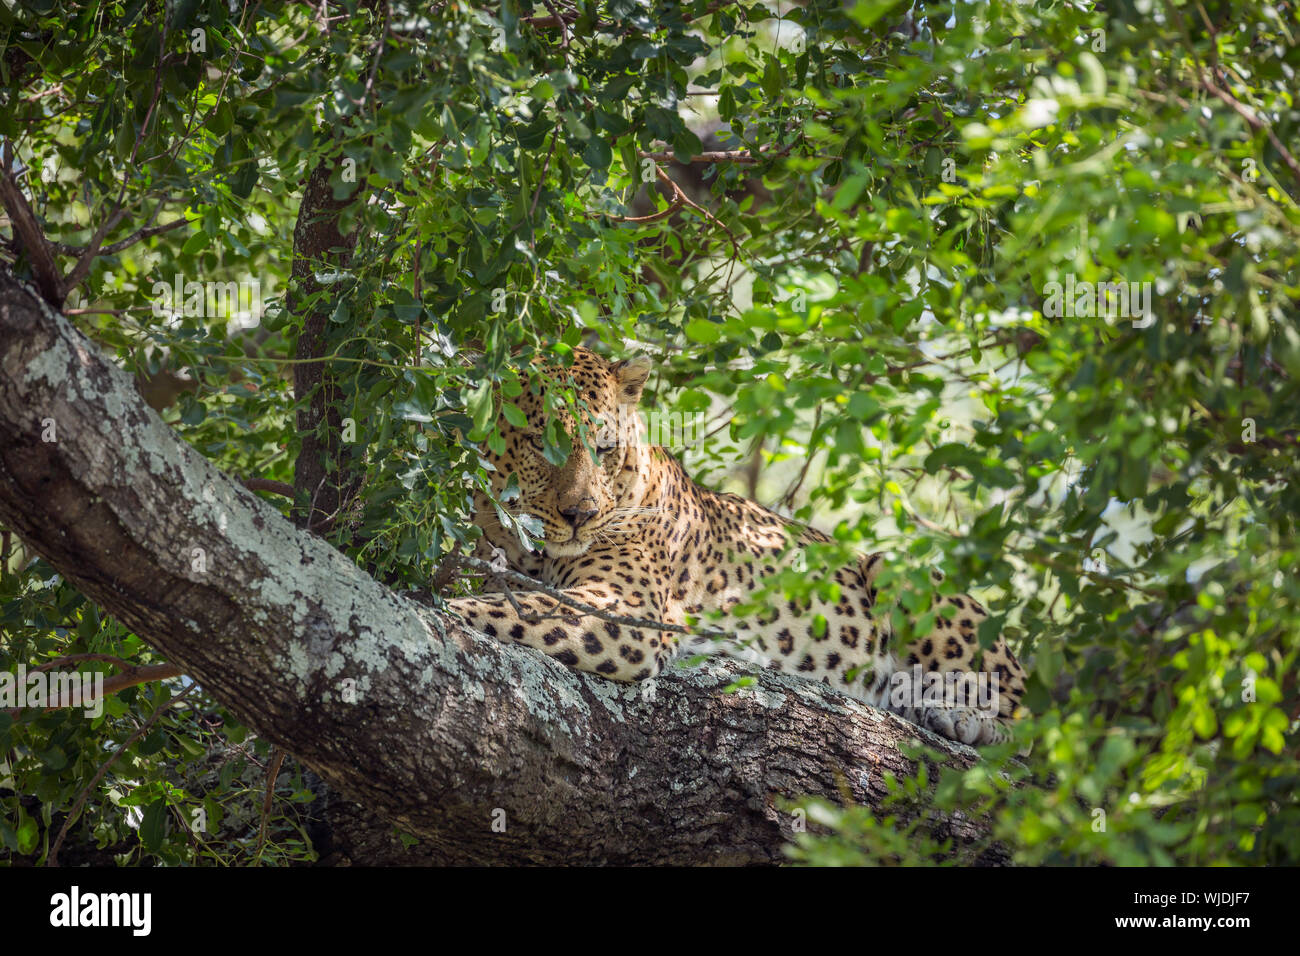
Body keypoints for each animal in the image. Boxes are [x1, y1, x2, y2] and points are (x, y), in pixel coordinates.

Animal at [449, 347, 1028, 746]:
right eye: (537, 442)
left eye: (605, 448)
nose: (580, 515)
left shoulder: (626, 611)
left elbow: (498, 609)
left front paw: (440, 613)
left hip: (900, 575)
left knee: (1022, 725)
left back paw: (959, 717)